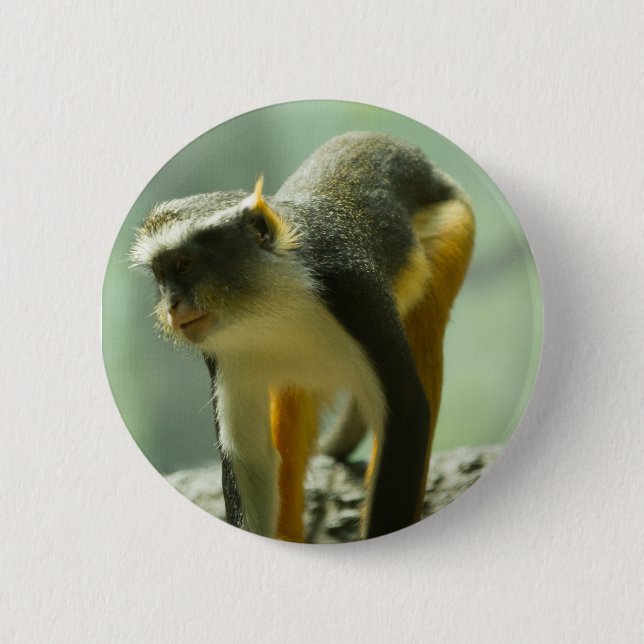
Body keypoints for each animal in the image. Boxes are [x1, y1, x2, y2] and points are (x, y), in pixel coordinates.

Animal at [130, 132, 474, 541]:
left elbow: (407, 412)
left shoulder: (353, 289)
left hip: (453, 224)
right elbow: (250, 458)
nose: (172, 305)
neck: (271, 300)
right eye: (160, 275)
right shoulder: (220, 351)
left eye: (184, 264)